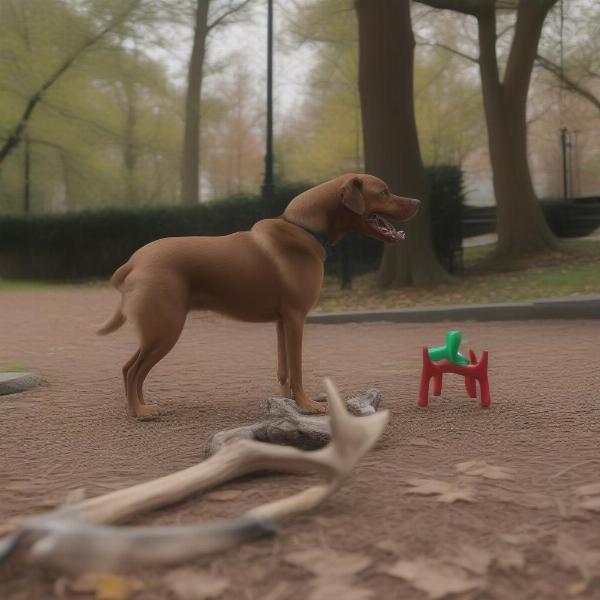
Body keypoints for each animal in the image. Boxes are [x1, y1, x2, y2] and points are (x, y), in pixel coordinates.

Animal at [97, 173, 418, 418]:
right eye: (384, 191)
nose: (417, 201)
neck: (305, 228)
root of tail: (136, 261)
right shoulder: (296, 319)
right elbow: (297, 370)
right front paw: (307, 405)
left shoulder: (281, 322)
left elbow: (283, 370)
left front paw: (288, 402)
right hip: (165, 330)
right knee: (132, 370)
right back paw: (139, 412)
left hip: (157, 332)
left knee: (131, 370)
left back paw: (140, 405)